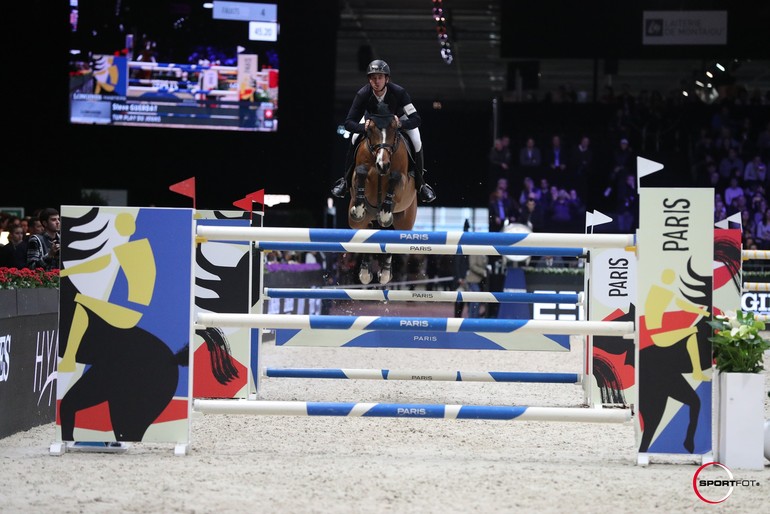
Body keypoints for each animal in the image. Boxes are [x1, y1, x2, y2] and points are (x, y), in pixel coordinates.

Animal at [346, 106, 414, 282]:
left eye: (394, 130)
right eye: (370, 130)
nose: (382, 165)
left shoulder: (403, 183)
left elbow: (395, 177)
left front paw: (384, 213)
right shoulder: (359, 173)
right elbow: (361, 171)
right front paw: (359, 209)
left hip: (405, 223)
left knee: (392, 235)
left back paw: (385, 273)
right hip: (358, 223)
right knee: (366, 232)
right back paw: (365, 273)